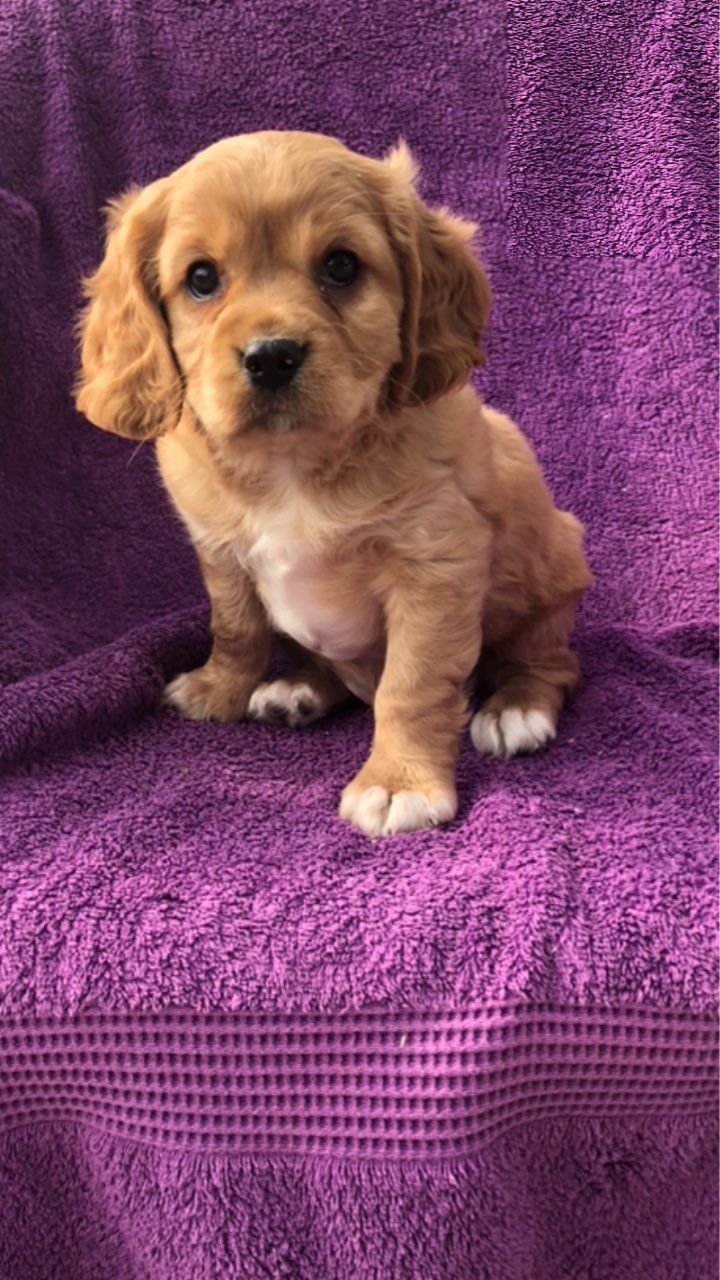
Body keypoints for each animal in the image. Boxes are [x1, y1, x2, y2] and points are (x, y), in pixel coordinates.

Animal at [75, 132, 589, 839]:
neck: (292, 465)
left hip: (549, 578)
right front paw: (219, 689)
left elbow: (413, 683)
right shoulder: (220, 553)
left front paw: (400, 782)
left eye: (341, 266)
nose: (271, 356)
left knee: (553, 663)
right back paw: (298, 690)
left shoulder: (436, 566)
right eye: (201, 278)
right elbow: (236, 628)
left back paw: (517, 707)